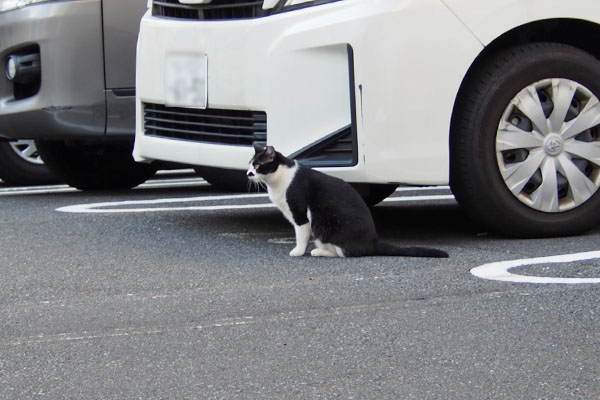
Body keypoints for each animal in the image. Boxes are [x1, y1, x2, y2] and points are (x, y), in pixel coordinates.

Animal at [246, 145, 448, 260]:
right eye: (250, 164)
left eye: (257, 165)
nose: (247, 173)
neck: (277, 180)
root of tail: (373, 241)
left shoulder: (300, 213)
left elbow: (301, 235)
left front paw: (298, 250)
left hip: (324, 225)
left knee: (343, 252)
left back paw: (318, 252)